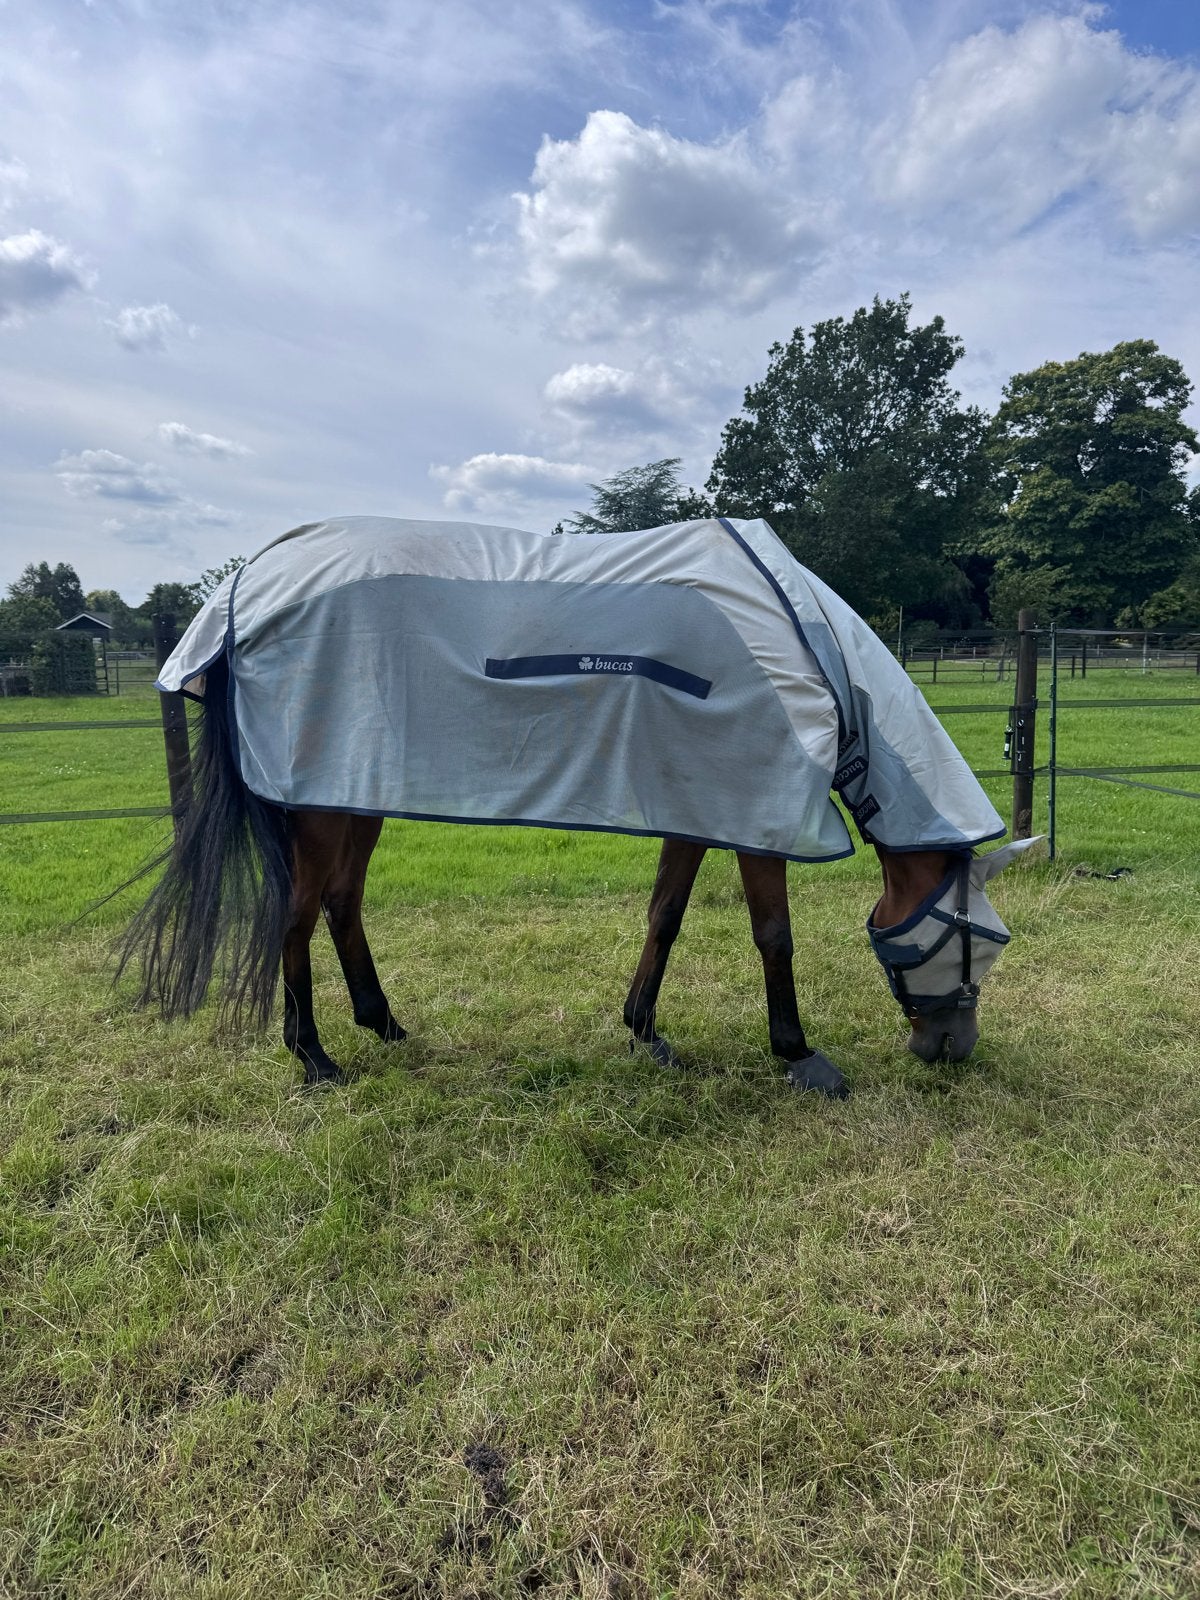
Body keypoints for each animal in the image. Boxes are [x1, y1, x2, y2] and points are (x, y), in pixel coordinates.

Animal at [123, 515, 1033, 1097]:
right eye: (983, 942)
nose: (951, 1050)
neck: (814, 658)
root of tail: (246, 583)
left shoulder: (698, 804)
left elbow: (665, 916)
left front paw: (646, 1031)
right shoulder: (756, 815)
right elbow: (773, 935)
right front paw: (800, 1056)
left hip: (351, 790)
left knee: (341, 905)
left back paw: (383, 1026)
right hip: (319, 806)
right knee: (295, 919)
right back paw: (314, 1059)